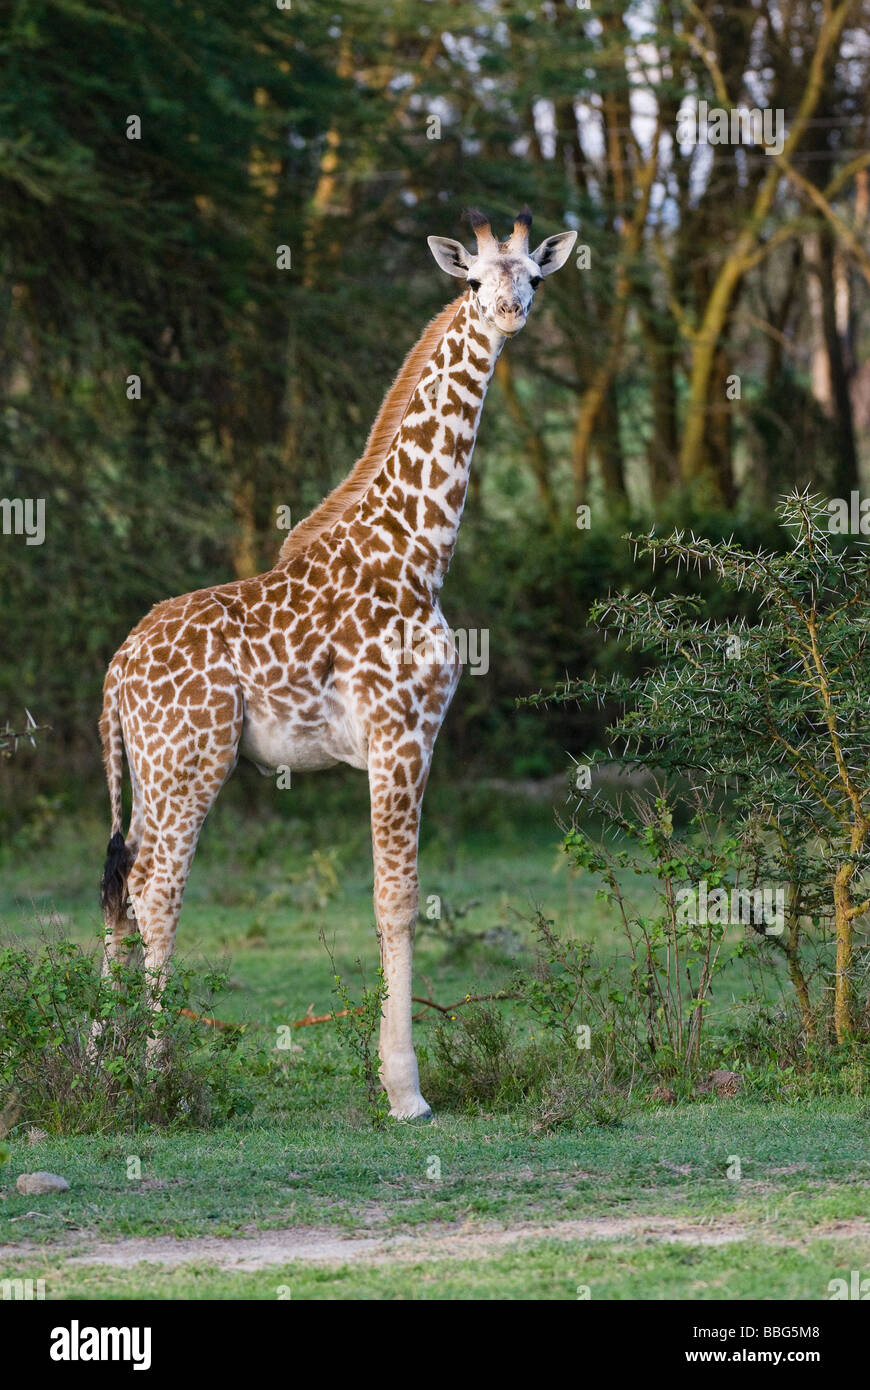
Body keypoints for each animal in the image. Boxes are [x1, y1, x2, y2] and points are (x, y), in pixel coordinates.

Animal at [98, 208, 577, 1119]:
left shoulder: (404, 743)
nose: (510, 313)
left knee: (118, 888)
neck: (418, 553)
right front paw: (406, 1092)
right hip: (191, 762)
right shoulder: (401, 737)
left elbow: (391, 900)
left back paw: (97, 1065)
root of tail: (114, 675)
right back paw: (154, 1077)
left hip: (142, 770)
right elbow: (398, 901)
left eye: (534, 277)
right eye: (473, 280)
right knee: (154, 892)